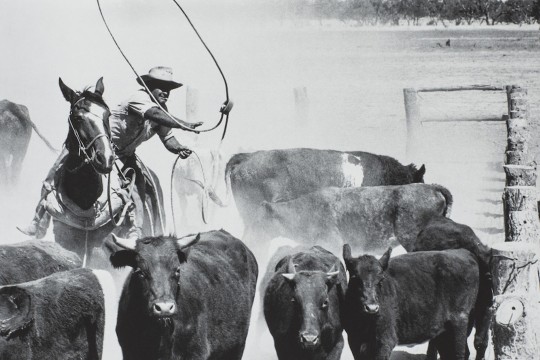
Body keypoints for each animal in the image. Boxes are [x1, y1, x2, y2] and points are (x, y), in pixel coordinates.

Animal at [344, 246, 478, 358]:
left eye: (381, 279)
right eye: (354, 277)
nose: (371, 307)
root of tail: (464, 252)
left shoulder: (385, 341)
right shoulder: (354, 340)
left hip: (459, 321)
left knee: (460, 354)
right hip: (443, 331)